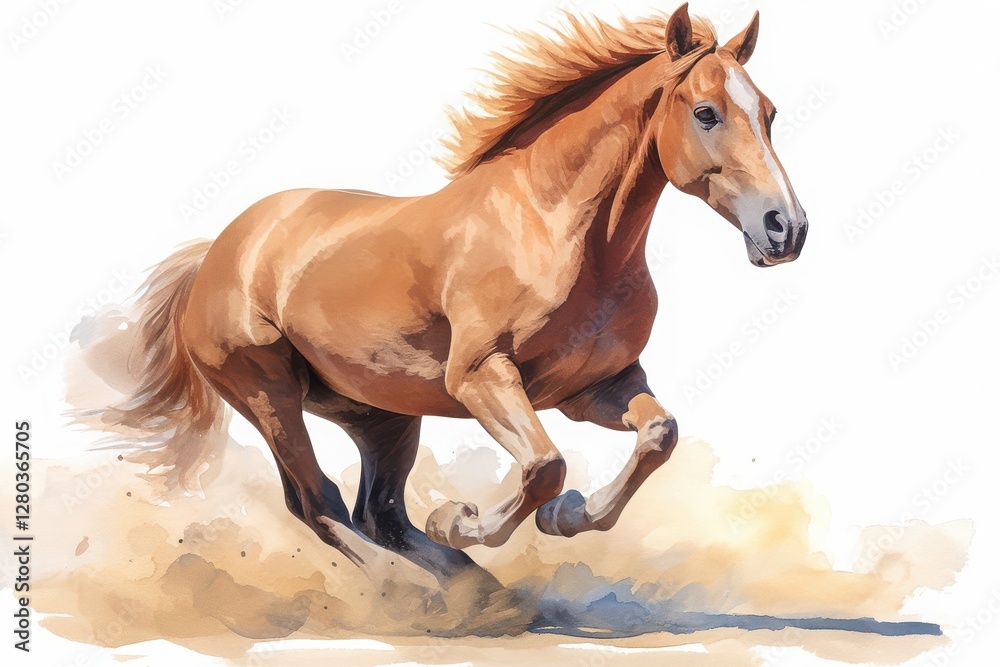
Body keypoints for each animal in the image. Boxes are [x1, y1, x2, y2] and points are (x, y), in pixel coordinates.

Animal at [101, 4, 807, 582]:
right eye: (706, 113)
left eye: (771, 114)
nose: (787, 229)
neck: (556, 229)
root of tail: (219, 252)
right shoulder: (480, 377)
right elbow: (544, 466)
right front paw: (465, 521)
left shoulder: (592, 388)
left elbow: (659, 434)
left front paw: (567, 518)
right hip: (268, 393)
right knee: (319, 503)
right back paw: (419, 594)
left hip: (381, 415)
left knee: (379, 511)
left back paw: (471, 588)